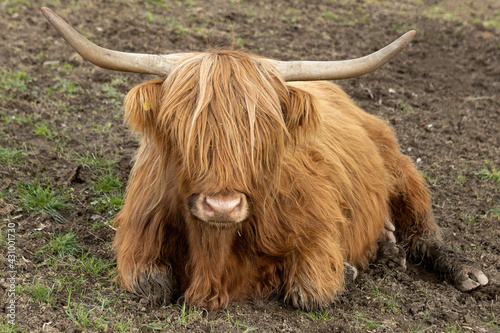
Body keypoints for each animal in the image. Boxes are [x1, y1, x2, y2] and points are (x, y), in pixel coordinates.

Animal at [43, 7, 488, 308]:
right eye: (181, 126)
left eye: (263, 131)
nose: (222, 205)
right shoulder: (137, 242)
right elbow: (152, 285)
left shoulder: (317, 230)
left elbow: (309, 288)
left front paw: (346, 269)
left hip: (400, 168)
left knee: (424, 232)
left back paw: (466, 271)